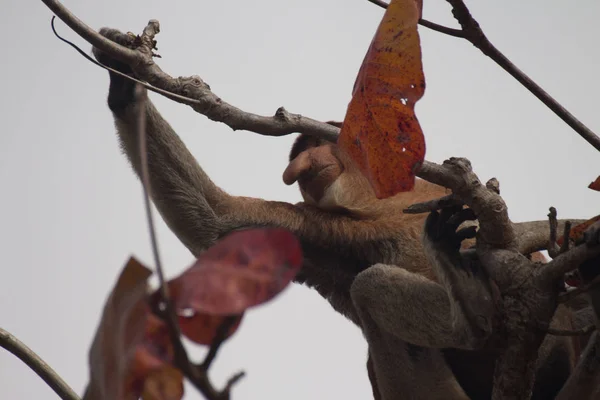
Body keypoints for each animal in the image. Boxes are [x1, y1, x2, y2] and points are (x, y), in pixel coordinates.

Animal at [92, 28, 576, 400]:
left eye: (312, 145)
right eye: (298, 157)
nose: (298, 170)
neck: (379, 200)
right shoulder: (319, 224)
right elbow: (219, 224)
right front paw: (124, 82)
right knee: (370, 288)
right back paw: (476, 314)